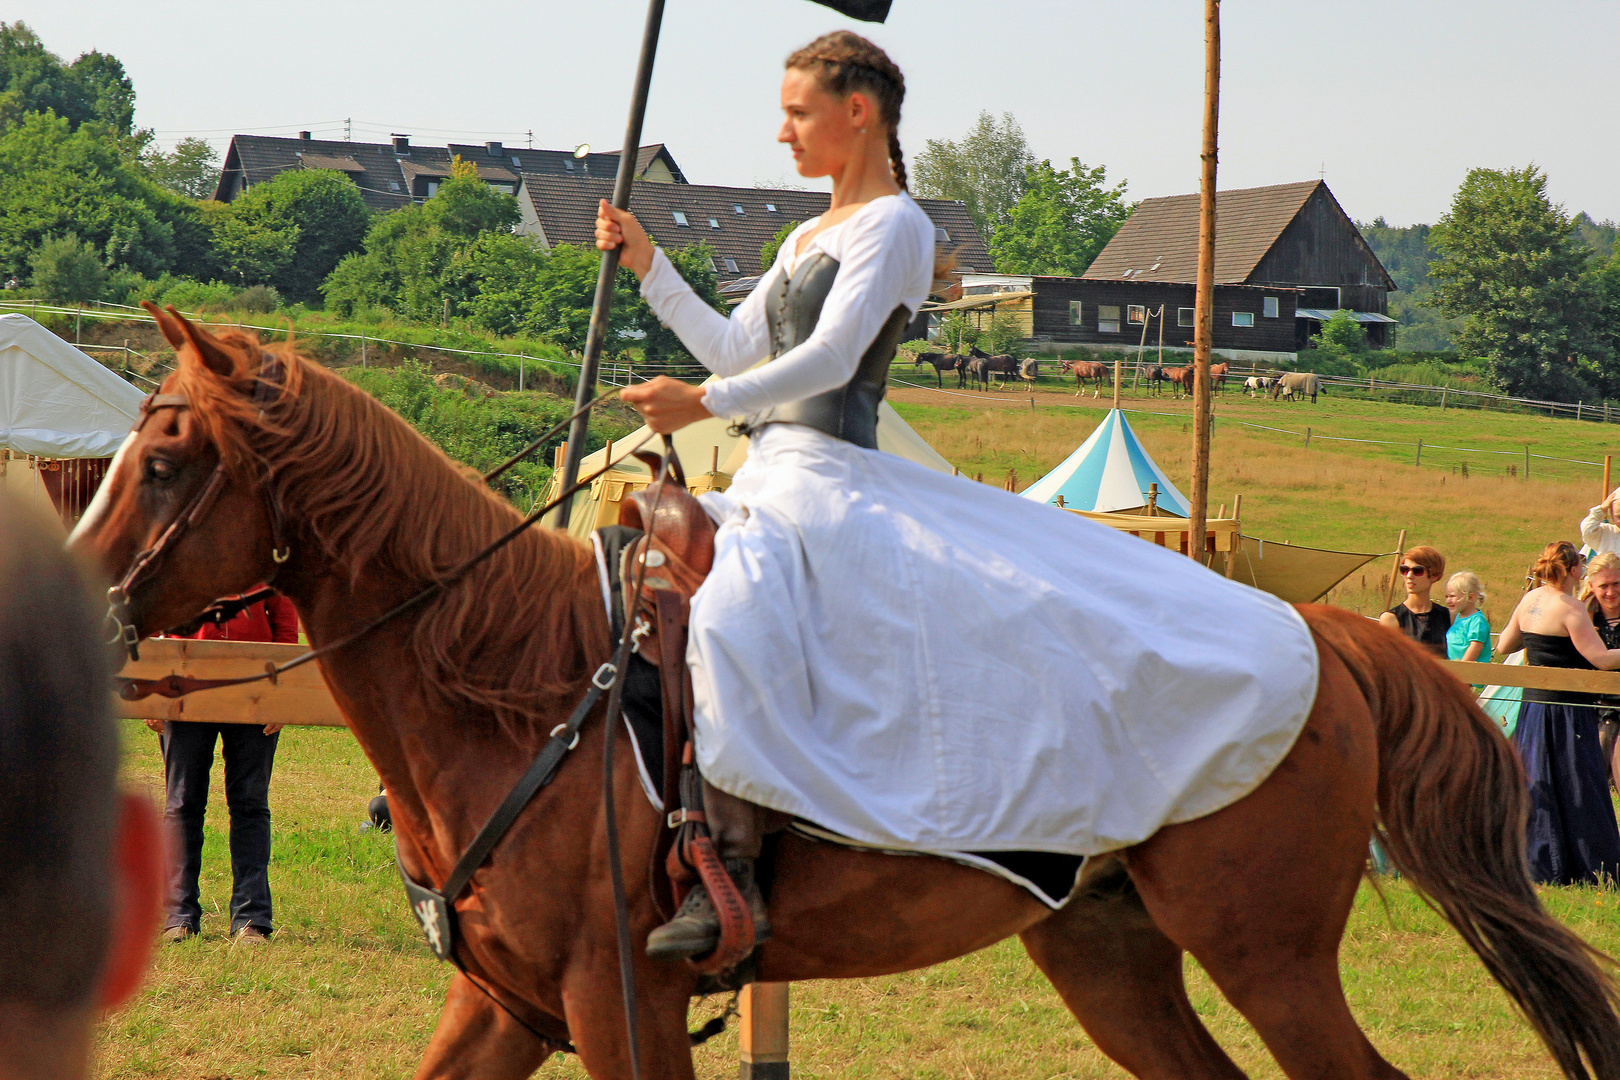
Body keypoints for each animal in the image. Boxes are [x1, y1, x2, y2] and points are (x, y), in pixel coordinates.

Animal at [66, 302, 1620, 1080]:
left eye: (168, 458)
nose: (72, 612)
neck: (516, 688)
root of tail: (1329, 638)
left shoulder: (616, 1004)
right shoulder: (507, 1007)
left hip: (1270, 957)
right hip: (1110, 953)